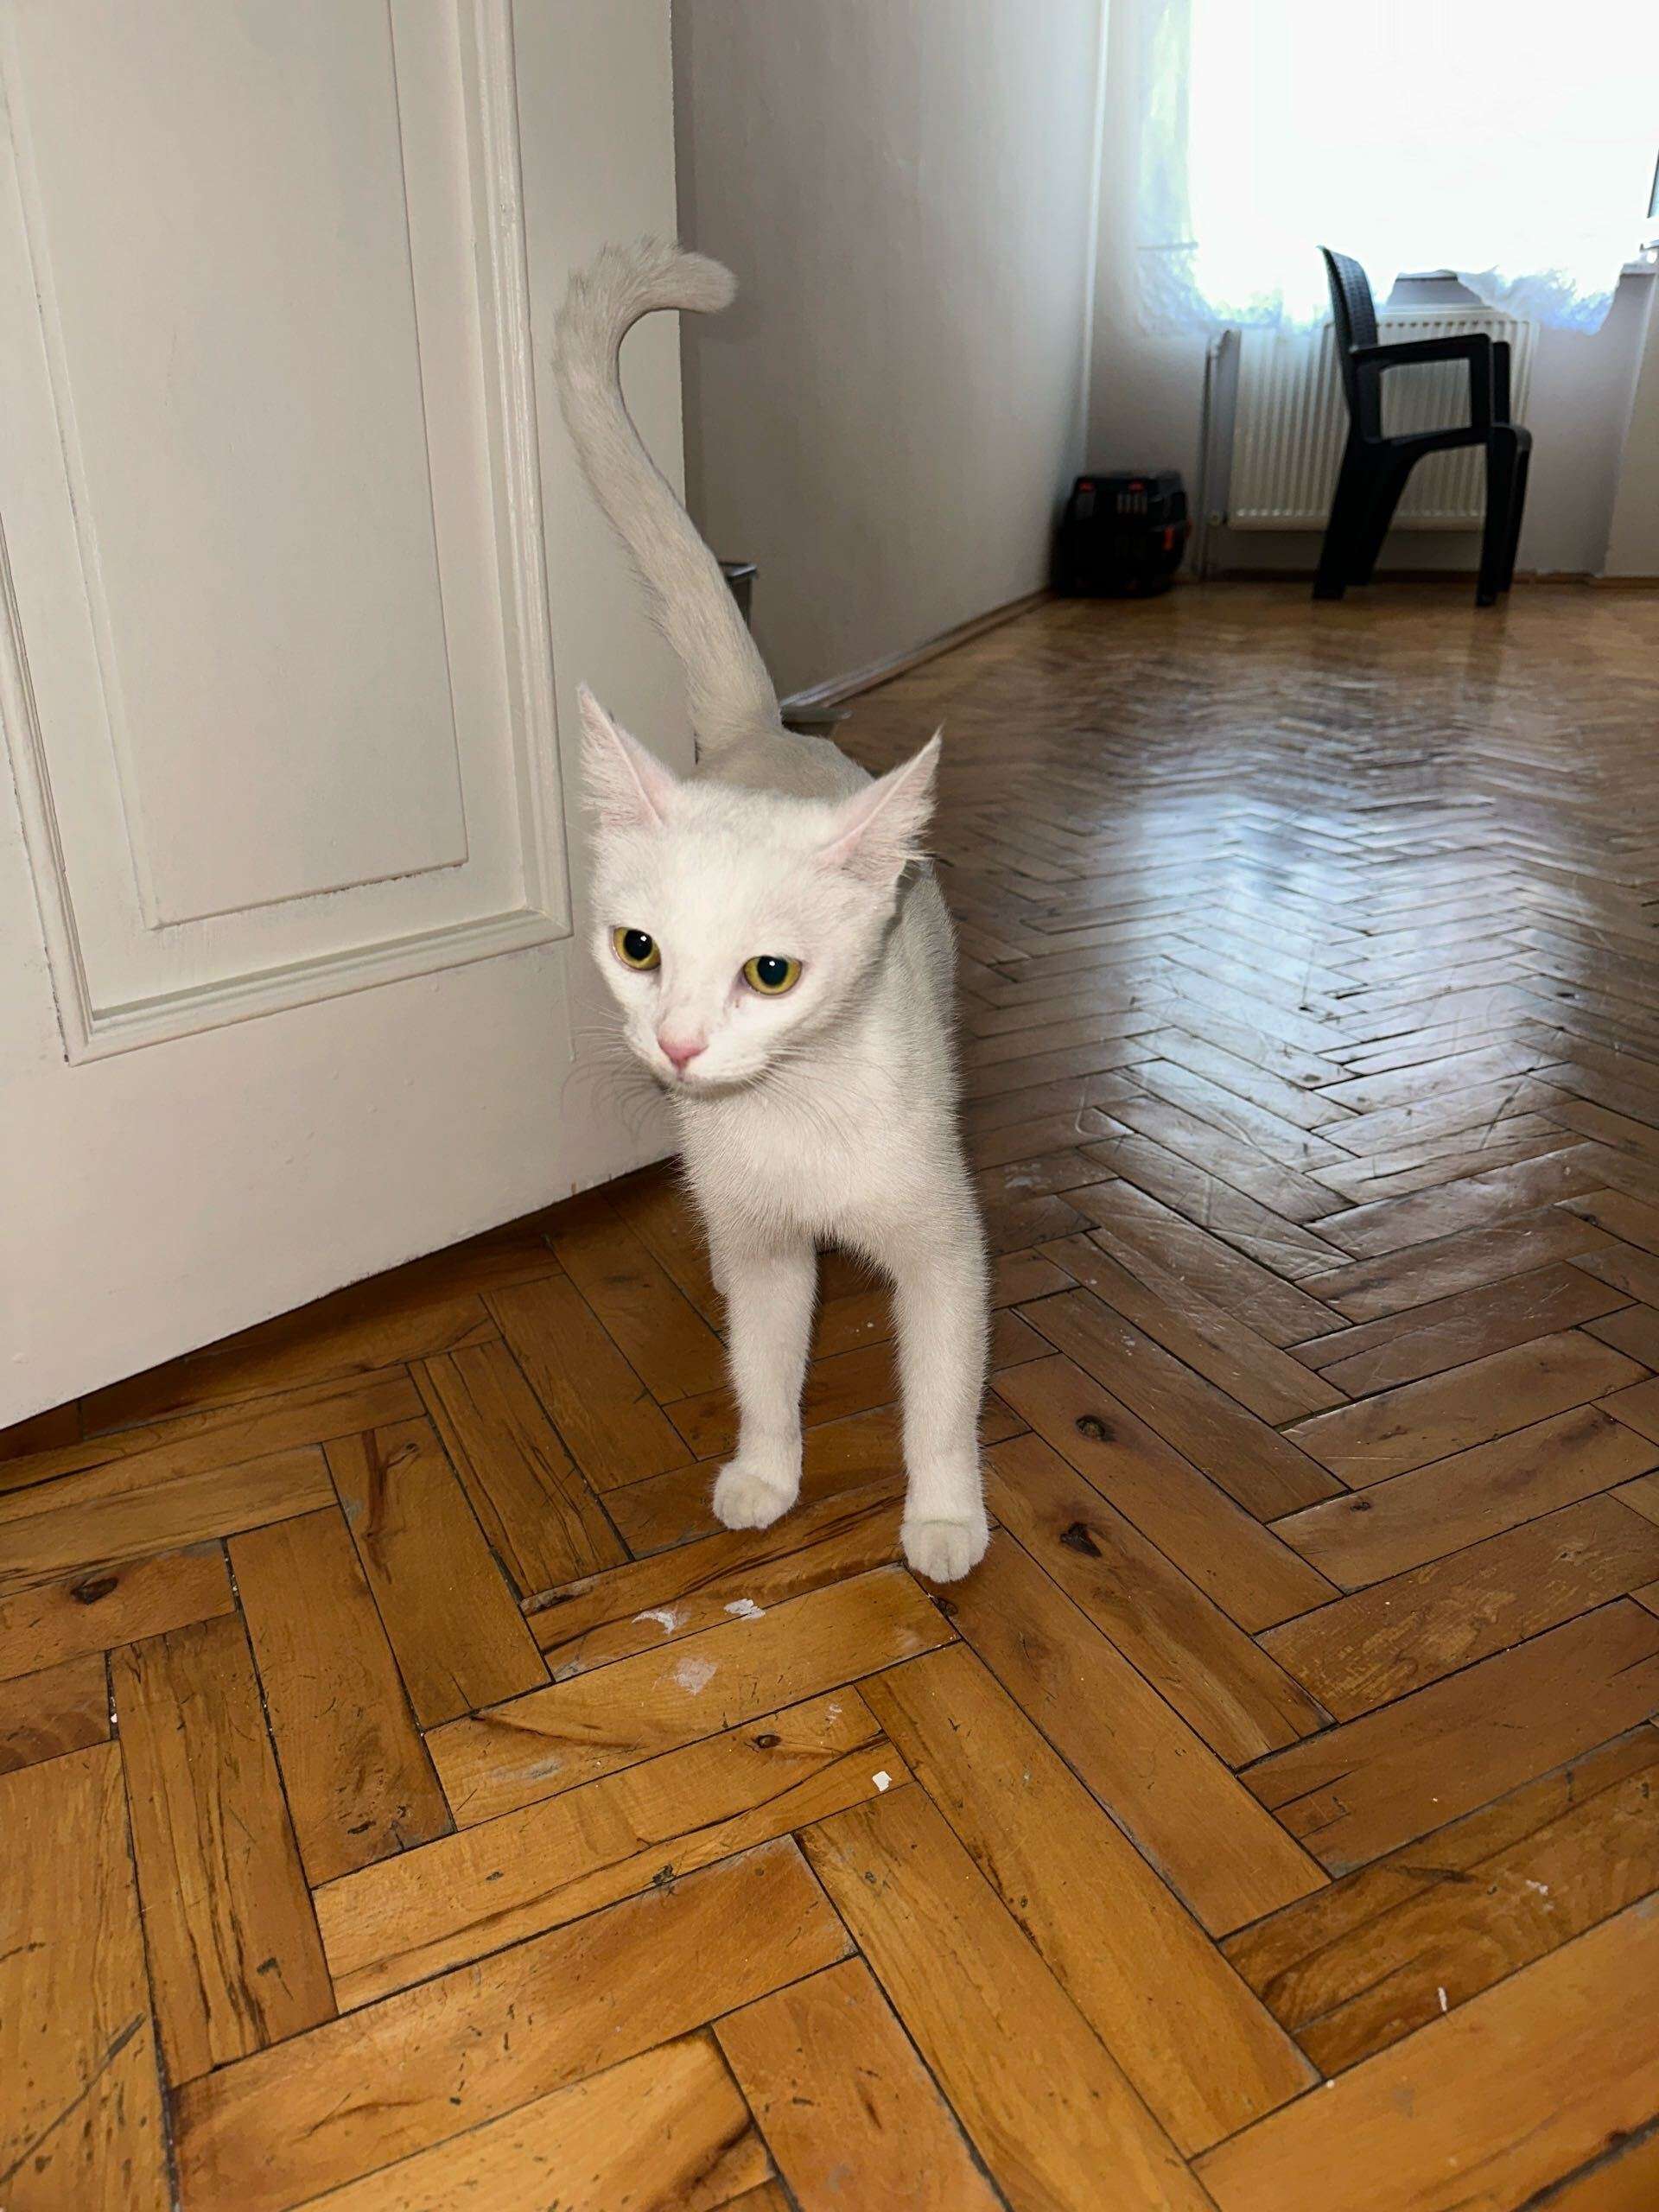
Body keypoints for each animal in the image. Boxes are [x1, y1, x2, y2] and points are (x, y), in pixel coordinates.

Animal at [553, 240, 988, 1582]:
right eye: (637, 948)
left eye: (773, 975)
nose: (682, 1047)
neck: (792, 1114)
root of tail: (765, 733)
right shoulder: (752, 1243)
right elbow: (763, 1363)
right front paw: (764, 1474)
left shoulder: (945, 1242)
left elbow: (942, 1394)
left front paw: (944, 1518)